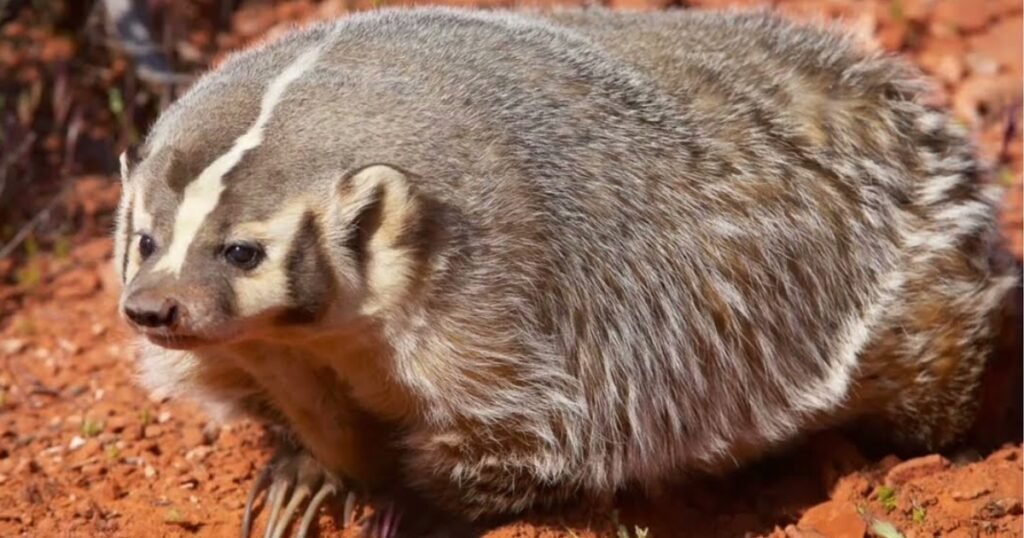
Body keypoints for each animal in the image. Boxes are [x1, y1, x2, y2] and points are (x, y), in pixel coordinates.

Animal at [113, 6, 1020, 537]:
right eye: (147, 238)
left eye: (242, 249)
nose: (153, 310)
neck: (328, 341)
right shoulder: (267, 353)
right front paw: (304, 477)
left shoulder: (508, 305)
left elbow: (533, 439)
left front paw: (402, 505)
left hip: (919, 292)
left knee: (931, 378)